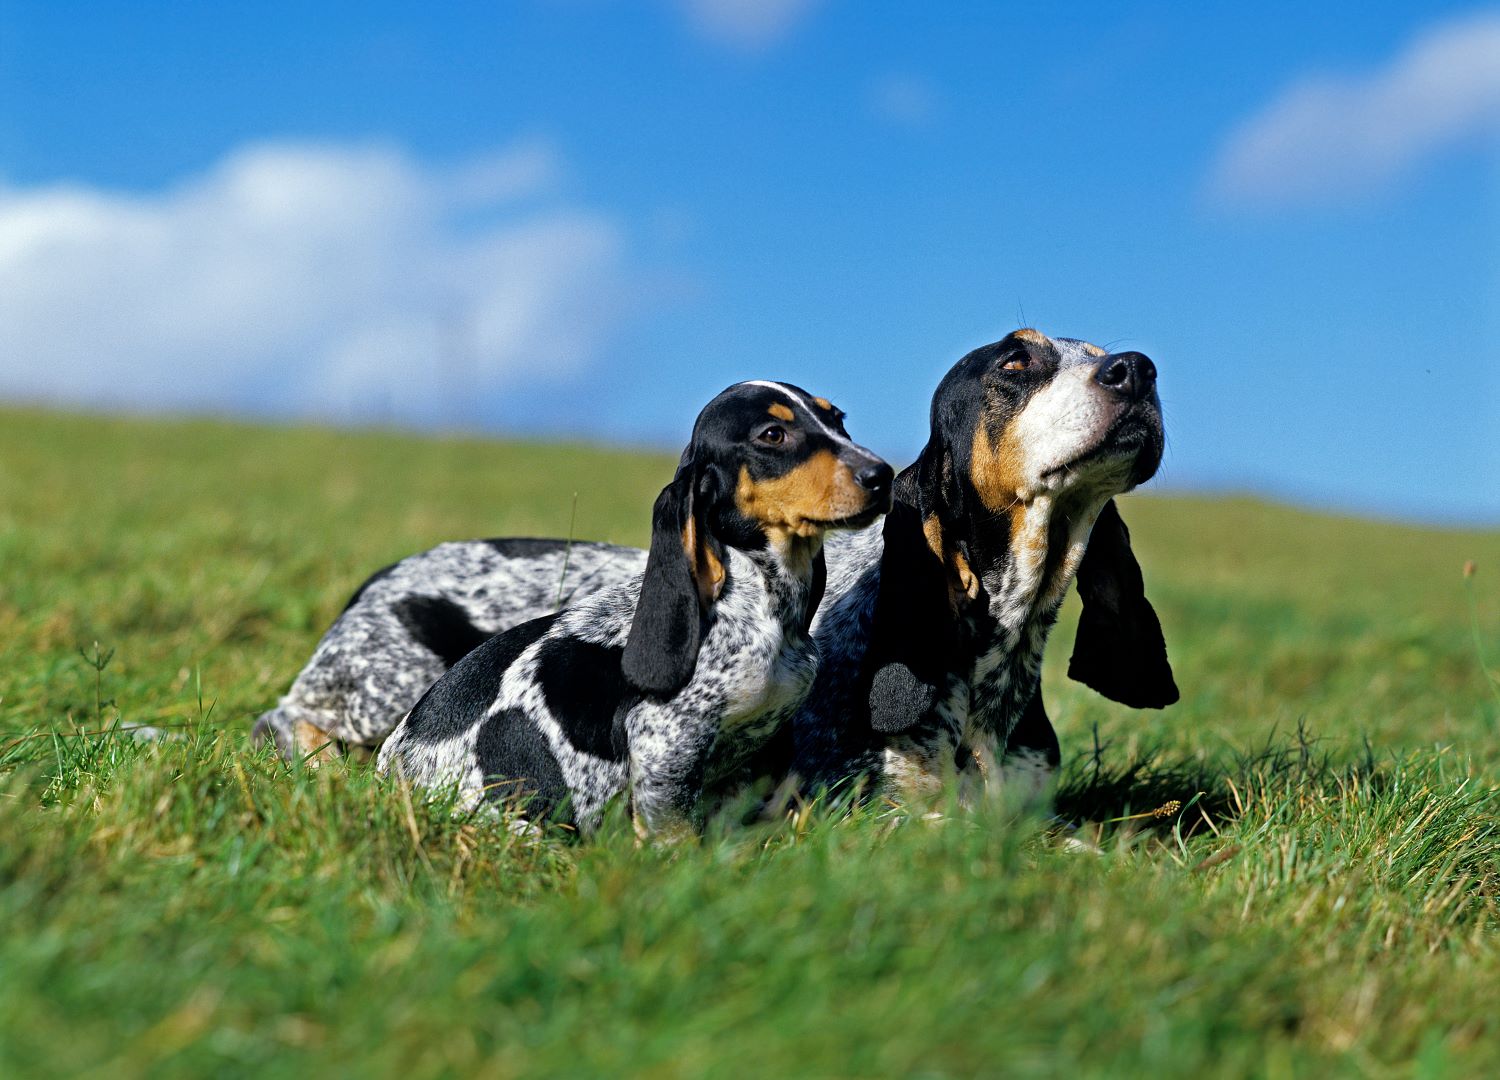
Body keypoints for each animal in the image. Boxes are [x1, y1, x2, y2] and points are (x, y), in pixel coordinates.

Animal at [375, 384, 888, 840]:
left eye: (837, 420)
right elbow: (676, 836)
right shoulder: (667, 746)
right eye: (773, 435)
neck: (759, 605)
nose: (881, 475)